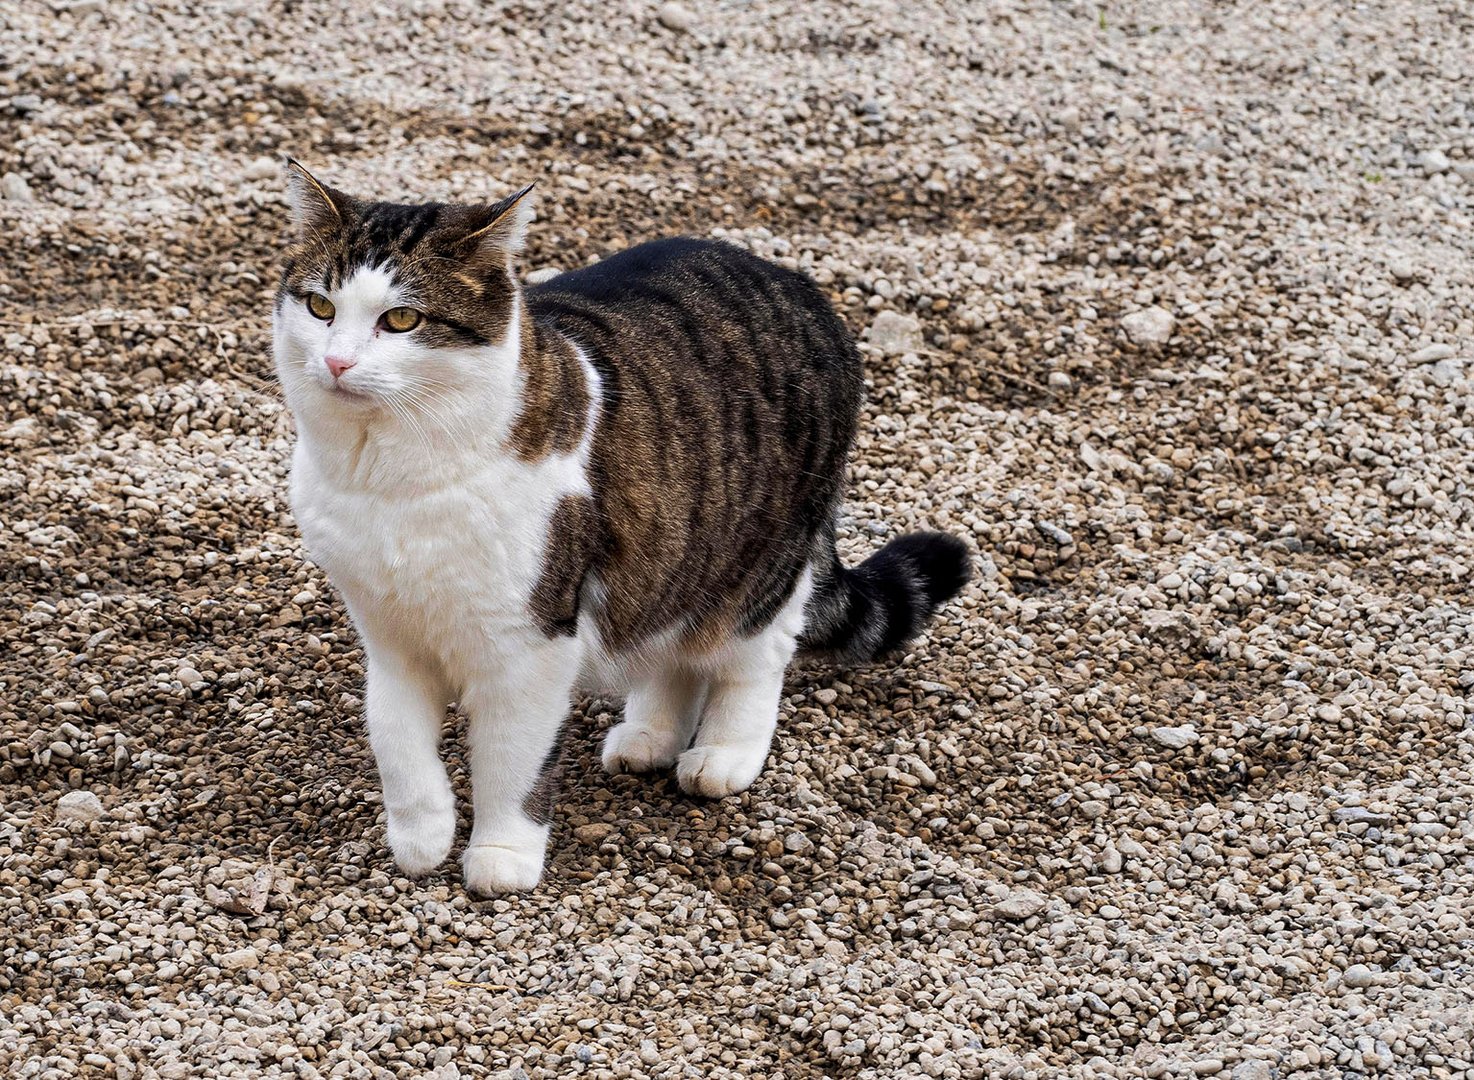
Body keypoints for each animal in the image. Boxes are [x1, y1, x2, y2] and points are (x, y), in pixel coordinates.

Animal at [272, 159, 972, 895]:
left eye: (401, 319)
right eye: (320, 308)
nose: (337, 362)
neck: (389, 480)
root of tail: (800, 284)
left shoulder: (530, 642)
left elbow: (511, 759)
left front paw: (502, 854)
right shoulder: (389, 631)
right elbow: (396, 739)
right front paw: (420, 835)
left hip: (760, 562)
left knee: (754, 655)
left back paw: (724, 752)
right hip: (677, 547)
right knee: (674, 642)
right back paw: (652, 735)